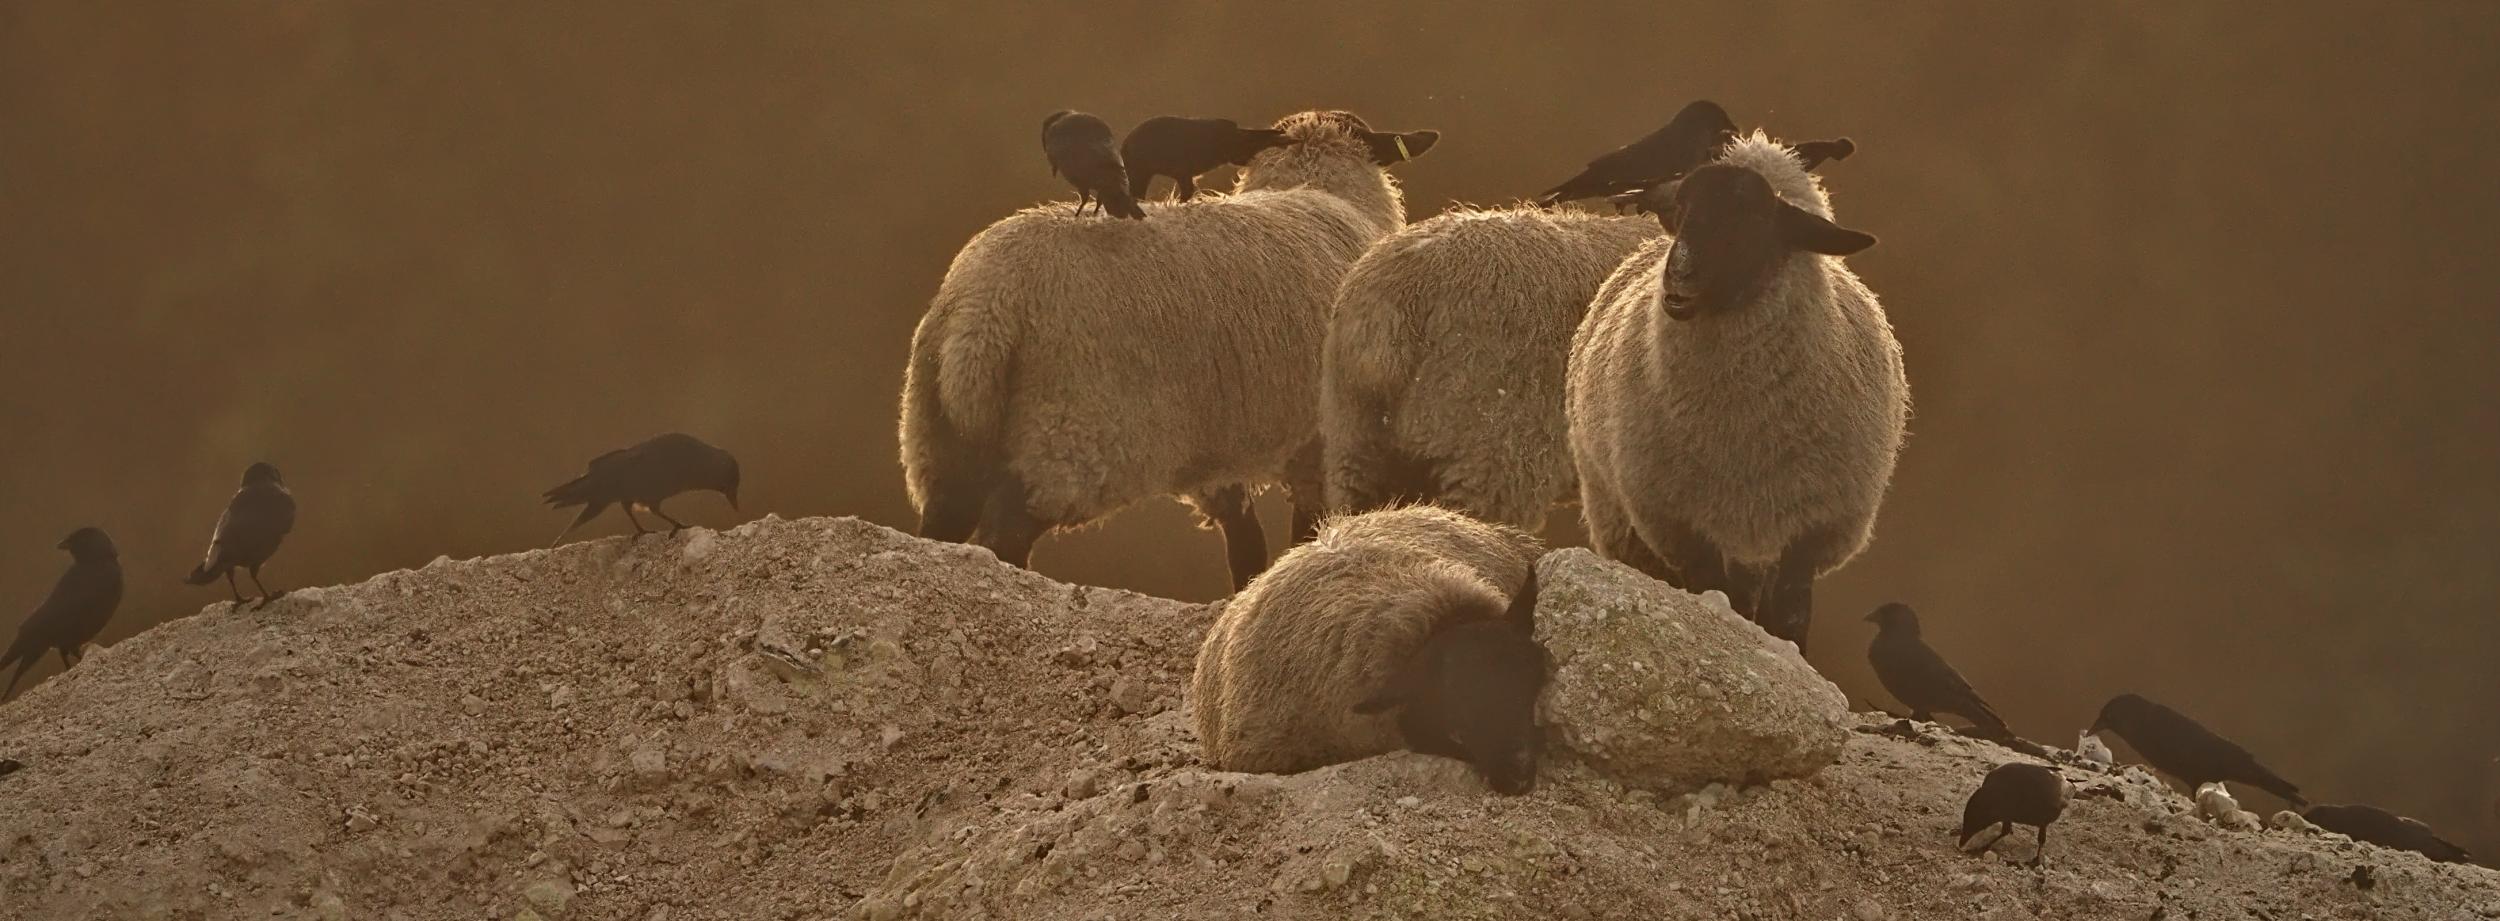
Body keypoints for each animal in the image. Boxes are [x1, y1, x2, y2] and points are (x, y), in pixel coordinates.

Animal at [899, 110, 1440, 591]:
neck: (1321, 191)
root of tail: (984, 309)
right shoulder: (1318, 444)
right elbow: (1304, 531)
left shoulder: (1220, 452)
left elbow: (1245, 543)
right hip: (1065, 436)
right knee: (1002, 535)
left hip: (941, 438)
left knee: (941, 529)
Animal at [1565, 131, 1906, 654]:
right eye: (1681, 209)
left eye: (1757, 220)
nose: (1677, 279)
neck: (1743, 430)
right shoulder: (1681, 527)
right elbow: (1713, 591)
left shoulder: (1810, 532)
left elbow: (1788, 617)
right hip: (1623, 517)